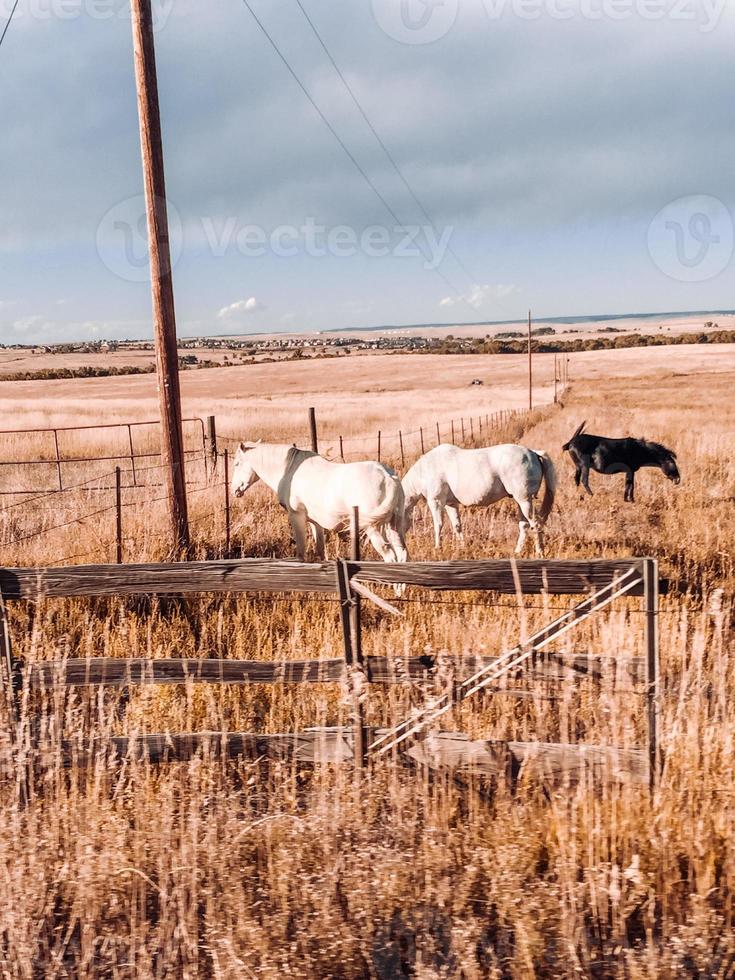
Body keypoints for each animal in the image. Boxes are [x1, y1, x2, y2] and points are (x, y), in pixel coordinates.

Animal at [231, 442, 408, 564]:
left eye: (237, 463)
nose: (234, 490)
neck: (289, 470)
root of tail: (387, 476)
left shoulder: (296, 516)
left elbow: (301, 552)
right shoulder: (315, 522)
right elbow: (320, 551)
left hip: (373, 528)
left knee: (389, 555)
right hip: (393, 525)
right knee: (402, 553)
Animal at [402, 442, 556, 556]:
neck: (427, 468)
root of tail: (533, 453)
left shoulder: (436, 501)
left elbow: (438, 524)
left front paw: (437, 549)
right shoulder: (451, 504)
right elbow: (457, 526)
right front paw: (462, 548)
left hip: (525, 500)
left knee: (536, 524)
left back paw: (539, 552)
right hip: (521, 501)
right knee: (524, 525)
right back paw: (517, 552)